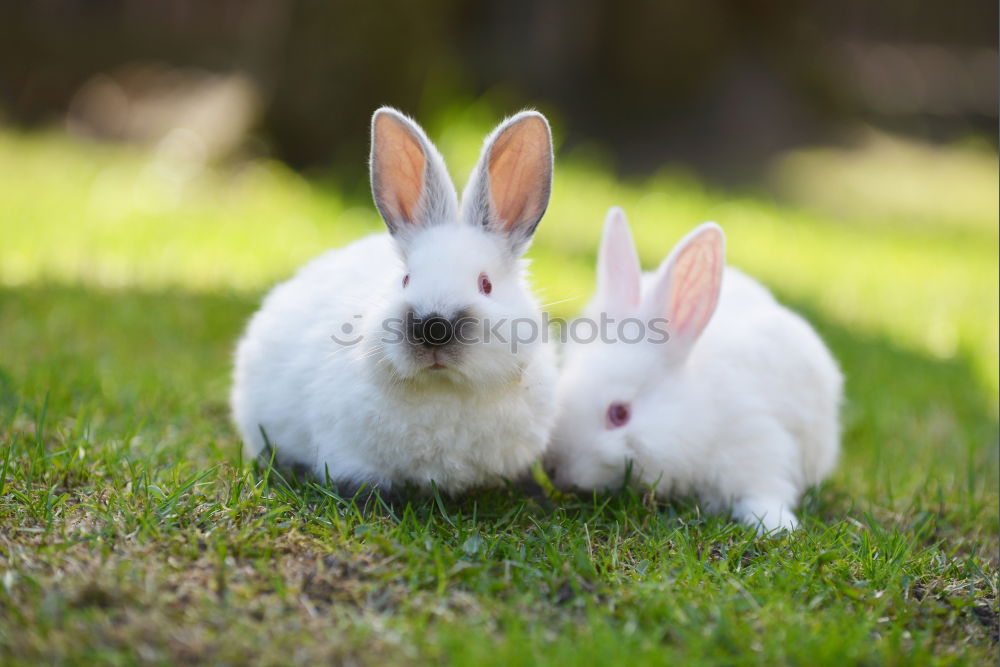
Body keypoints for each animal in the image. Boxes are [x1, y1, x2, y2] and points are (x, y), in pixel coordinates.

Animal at [548, 209, 844, 532]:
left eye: (619, 413)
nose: (557, 474)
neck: (700, 411)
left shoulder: (758, 444)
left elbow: (763, 492)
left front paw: (777, 525)